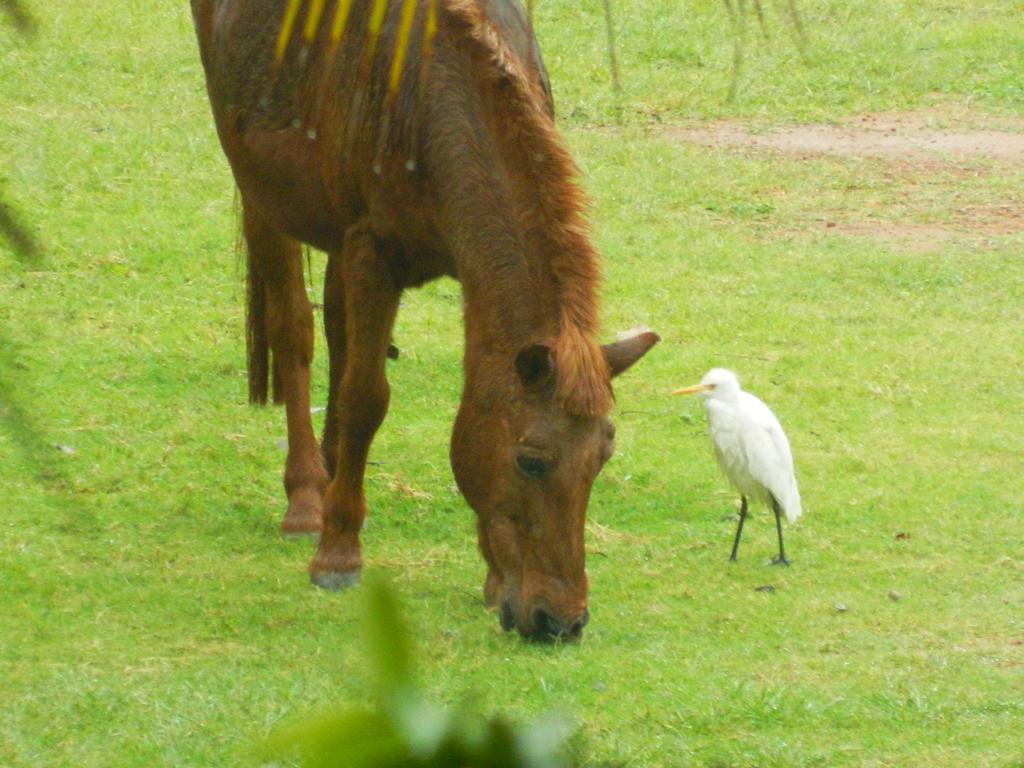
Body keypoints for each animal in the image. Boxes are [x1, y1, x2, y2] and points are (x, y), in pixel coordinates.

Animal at [191, 0, 655, 638]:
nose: (560, 622)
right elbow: (366, 397)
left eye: (601, 458)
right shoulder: (373, 249)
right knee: (294, 329)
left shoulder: (456, 258)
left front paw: (492, 578)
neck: (426, 96)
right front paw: (338, 550)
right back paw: (308, 496)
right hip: (261, 186)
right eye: (531, 461)